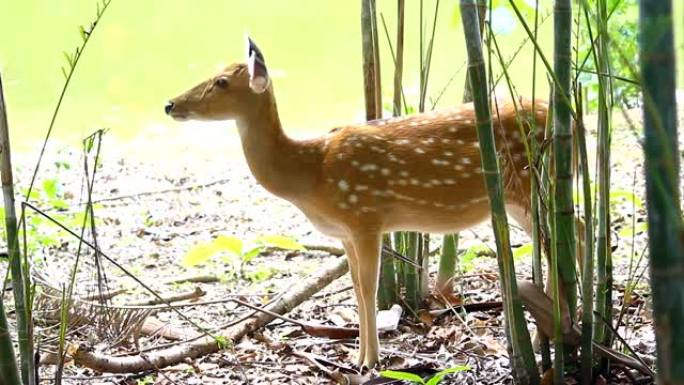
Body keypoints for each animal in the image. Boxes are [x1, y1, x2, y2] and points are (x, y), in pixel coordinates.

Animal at [167, 38, 552, 366]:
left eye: (221, 82)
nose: (170, 103)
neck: (311, 174)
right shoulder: (344, 233)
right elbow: (355, 289)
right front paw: (357, 357)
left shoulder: (365, 216)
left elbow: (369, 289)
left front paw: (371, 362)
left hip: (533, 185)